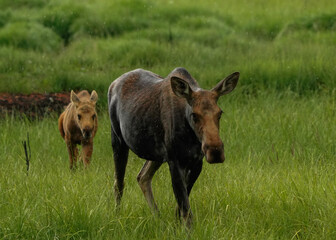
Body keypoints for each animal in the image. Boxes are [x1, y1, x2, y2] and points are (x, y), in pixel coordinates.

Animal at [107, 67, 239, 227]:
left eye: (219, 113)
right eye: (194, 115)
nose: (215, 151)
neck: (191, 136)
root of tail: (113, 84)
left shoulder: (196, 162)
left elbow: (181, 206)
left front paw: (176, 226)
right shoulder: (175, 161)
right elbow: (186, 210)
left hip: (156, 154)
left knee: (142, 176)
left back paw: (158, 218)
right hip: (118, 141)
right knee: (119, 183)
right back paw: (117, 217)